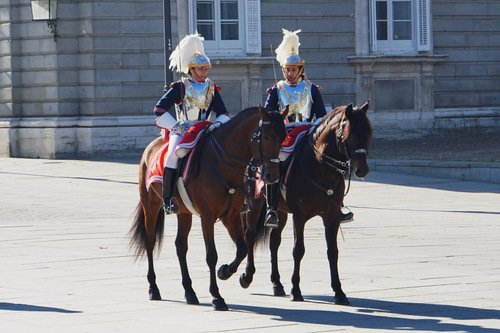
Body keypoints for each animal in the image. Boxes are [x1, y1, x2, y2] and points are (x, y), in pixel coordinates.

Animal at [130, 107, 286, 310]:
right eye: (266, 137)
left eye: (283, 138)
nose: (272, 176)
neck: (223, 164)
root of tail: (151, 146)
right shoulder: (207, 217)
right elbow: (211, 255)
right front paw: (216, 296)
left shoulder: (231, 216)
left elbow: (242, 248)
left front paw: (227, 272)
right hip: (150, 204)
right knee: (150, 241)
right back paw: (153, 288)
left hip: (183, 212)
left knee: (180, 245)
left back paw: (189, 292)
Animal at [240, 102, 374, 304]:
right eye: (351, 133)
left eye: (367, 133)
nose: (362, 169)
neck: (320, 166)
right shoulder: (299, 216)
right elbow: (298, 250)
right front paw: (296, 290)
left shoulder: (332, 216)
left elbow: (333, 252)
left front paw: (339, 292)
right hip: (255, 203)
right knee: (249, 236)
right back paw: (247, 276)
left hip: (280, 211)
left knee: (274, 242)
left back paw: (277, 283)